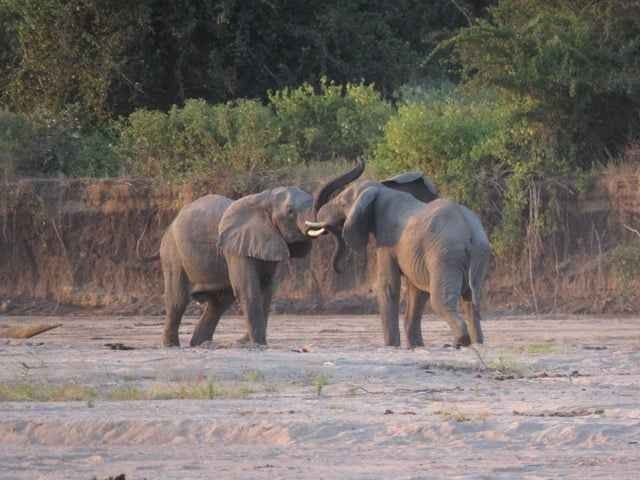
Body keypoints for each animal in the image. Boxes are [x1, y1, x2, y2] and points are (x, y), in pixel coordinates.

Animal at [144, 186, 316, 346]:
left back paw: (200, 343)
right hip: (172, 254)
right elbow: (248, 289)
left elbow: (265, 289)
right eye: (290, 211)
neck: (264, 199)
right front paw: (257, 344)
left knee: (219, 302)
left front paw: (247, 343)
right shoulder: (235, 248)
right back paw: (171, 345)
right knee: (178, 301)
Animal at [304, 164, 490, 348]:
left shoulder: (387, 239)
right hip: (478, 254)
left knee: (440, 301)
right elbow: (417, 290)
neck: (381, 190)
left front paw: (392, 346)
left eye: (343, 203)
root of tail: (469, 231)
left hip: (446, 254)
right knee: (471, 303)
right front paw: (415, 346)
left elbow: (388, 286)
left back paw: (457, 342)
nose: (340, 269)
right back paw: (476, 342)